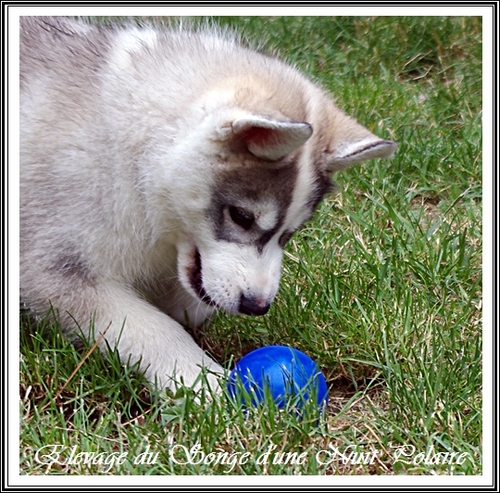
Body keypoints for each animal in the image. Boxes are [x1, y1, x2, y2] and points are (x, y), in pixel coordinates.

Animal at [19, 17, 396, 390]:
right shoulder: (56, 269)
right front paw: (203, 383)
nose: (256, 306)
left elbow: (191, 306)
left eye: (290, 234)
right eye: (242, 216)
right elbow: (153, 328)